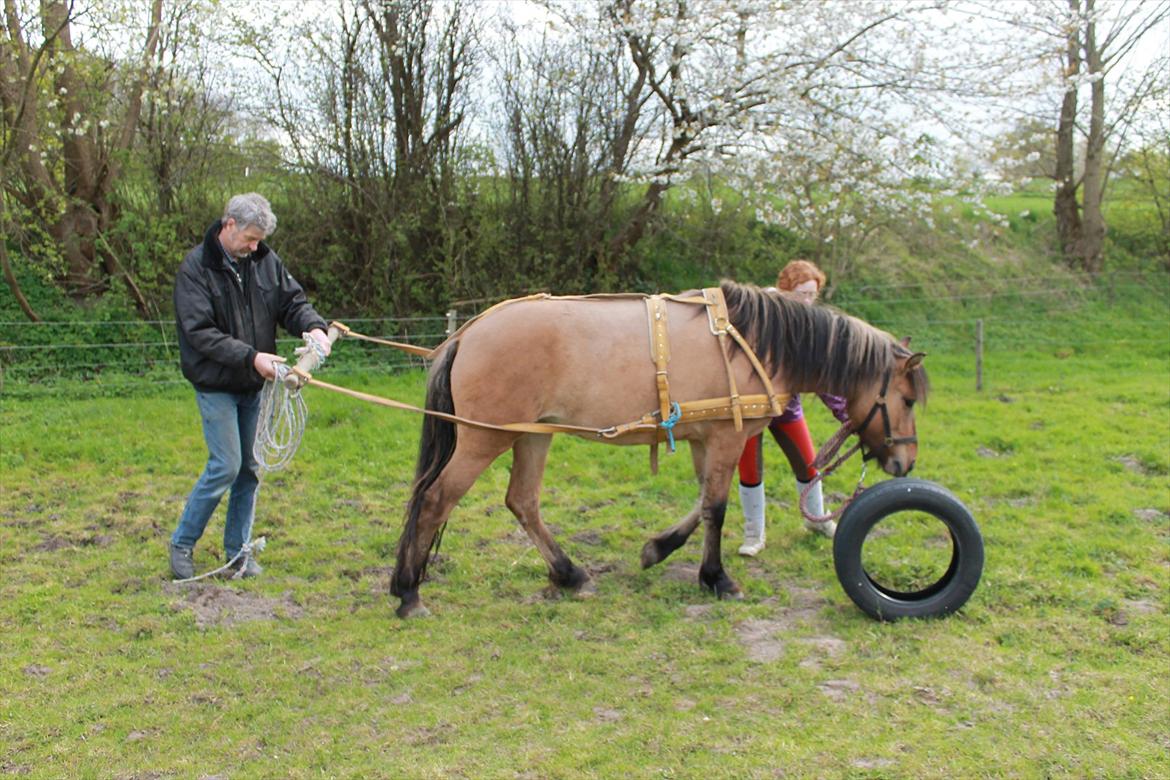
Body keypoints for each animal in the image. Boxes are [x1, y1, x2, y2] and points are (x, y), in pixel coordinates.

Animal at [393, 280, 931, 617]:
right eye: (906, 399)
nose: (905, 462)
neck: (752, 341)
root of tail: (465, 334)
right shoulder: (726, 437)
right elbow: (716, 507)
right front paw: (717, 578)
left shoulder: (704, 437)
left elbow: (703, 502)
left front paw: (658, 549)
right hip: (486, 437)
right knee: (436, 500)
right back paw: (408, 593)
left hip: (532, 434)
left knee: (522, 502)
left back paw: (568, 575)